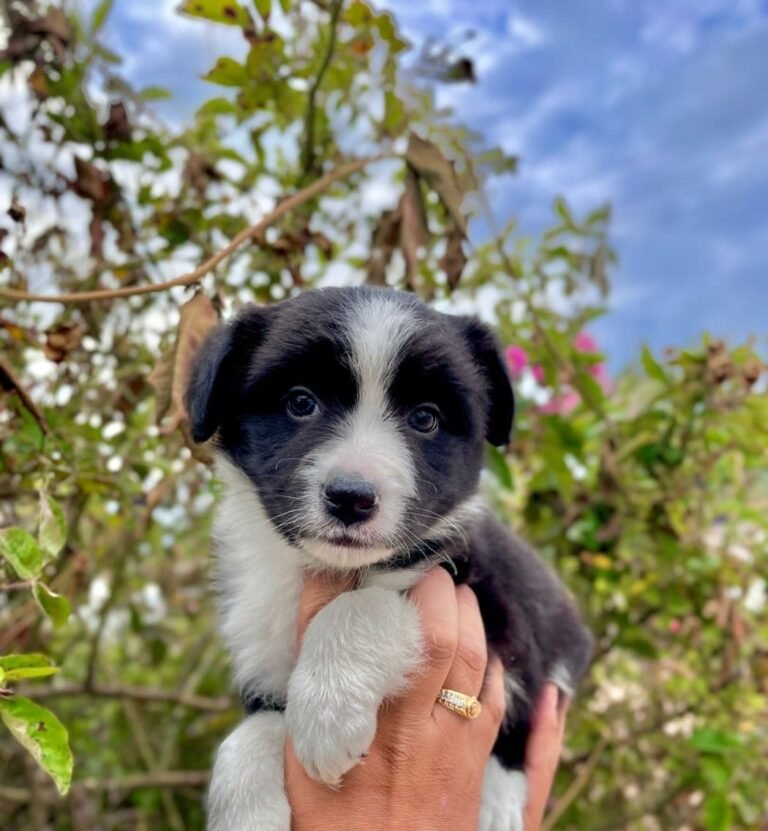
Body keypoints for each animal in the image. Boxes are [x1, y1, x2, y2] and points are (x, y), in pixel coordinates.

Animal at [188, 288, 592, 831]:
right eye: (300, 402)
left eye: (425, 418)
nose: (351, 497)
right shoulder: (263, 656)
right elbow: (250, 732)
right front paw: (247, 808)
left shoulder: (491, 605)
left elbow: (365, 605)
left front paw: (328, 711)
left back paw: (498, 802)